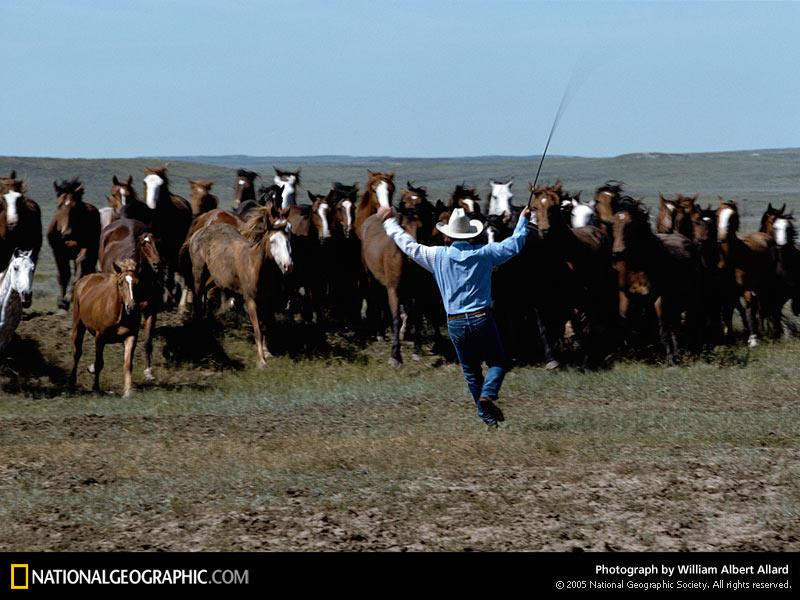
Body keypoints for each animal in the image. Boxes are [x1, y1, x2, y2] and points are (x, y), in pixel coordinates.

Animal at [47, 178, 101, 310]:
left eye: (75, 207)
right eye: (59, 205)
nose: (66, 233)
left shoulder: (85, 248)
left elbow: (79, 267)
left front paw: (68, 297)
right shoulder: (58, 252)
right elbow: (63, 274)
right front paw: (61, 301)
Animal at [70, 255, 141, 396]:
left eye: (137, 283)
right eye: (120, 283)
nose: (131, 307)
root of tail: (84, 280)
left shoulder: (131, 336)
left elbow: (127, 364)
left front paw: (127, 392)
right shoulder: (100, 337)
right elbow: (98, 363)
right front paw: (96, 389)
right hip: (78, 324)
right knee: (77, 352)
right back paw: (71, 384)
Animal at [98, 219, 161, 380]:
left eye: (157, 241)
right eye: (144, 244)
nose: (157, 263)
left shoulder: (151, 310)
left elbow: (148, 342)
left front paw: (148, 372)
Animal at [189, 214, 292, 366]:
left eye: (288, 240)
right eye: (273, 241)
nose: (288, 266)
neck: (255, 268)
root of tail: (198, 233)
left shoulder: (266, 302)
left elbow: (264, 327)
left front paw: (267, 352)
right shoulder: (250, 301)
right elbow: (257, 330)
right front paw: (261, 361)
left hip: (215, 278)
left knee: (205, 294)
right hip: (199, 273)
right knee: (197, 297)